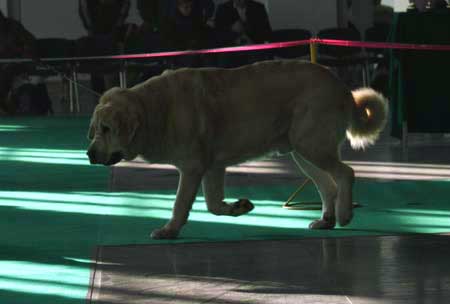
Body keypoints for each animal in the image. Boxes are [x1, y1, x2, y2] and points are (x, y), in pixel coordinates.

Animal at [87, 59, 386, 240]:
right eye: (94, 129)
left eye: (107, 129)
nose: (89, 154)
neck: (154, 109)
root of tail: (342, 88)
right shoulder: (213, 167)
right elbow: (213, 205)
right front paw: (239, 207)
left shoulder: (193, 168)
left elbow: (181, 203)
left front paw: (169, 230)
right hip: (303, 150)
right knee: (328, 186)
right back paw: (326, 220)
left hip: (311, 144)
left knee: (346, 174)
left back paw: (345, 215)